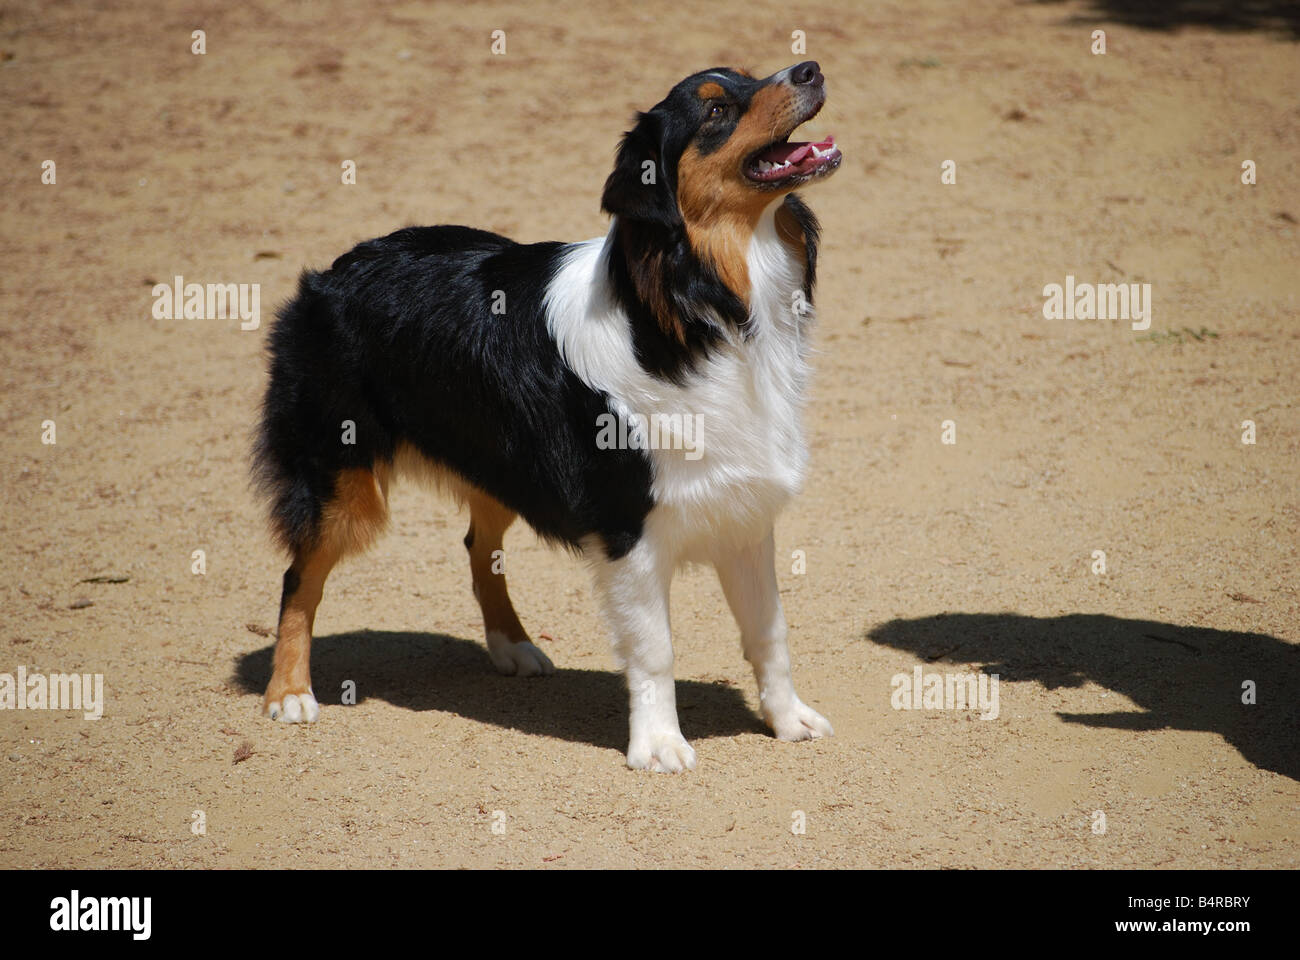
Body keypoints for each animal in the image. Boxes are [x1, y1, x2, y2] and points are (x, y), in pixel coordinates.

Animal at [253, 61, 842, 770]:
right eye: (716, 111)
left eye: (752, 77)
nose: (809, 68)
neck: (701, 306)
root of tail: (332, 272)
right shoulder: (629, 528)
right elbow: (655, 648)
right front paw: (659, 745)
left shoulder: (744, 511)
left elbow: (770, 632)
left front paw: (788, 720)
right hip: (343, 484)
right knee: (298, 577)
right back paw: (289, 693)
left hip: (496, 461)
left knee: (478, 545)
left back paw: (511, 645)